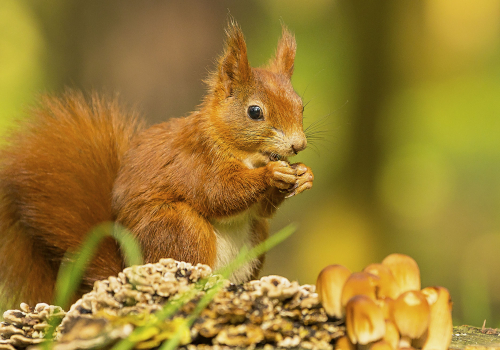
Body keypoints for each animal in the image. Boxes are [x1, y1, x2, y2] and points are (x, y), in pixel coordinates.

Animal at [0, 21, 312, 308]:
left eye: (300, 106)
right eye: (255, 111)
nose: (298, 145)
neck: (247, 155)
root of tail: (128, 270)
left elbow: (261, 209)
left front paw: (304, 175)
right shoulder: (194, 162)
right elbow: (219, 194)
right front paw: (271, 174)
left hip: (255, 238)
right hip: (179, 228)